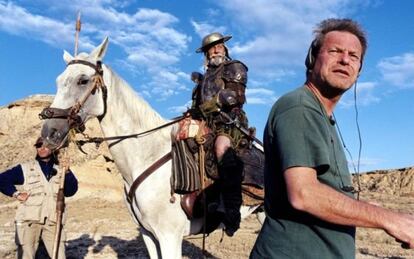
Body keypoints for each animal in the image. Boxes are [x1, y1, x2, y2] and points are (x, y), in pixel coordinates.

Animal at [42, 37, 262, 258]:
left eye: (83, 80)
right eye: (58, 81)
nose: (49, 133)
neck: (147, 154)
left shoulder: (169, 237)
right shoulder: (148, 234)